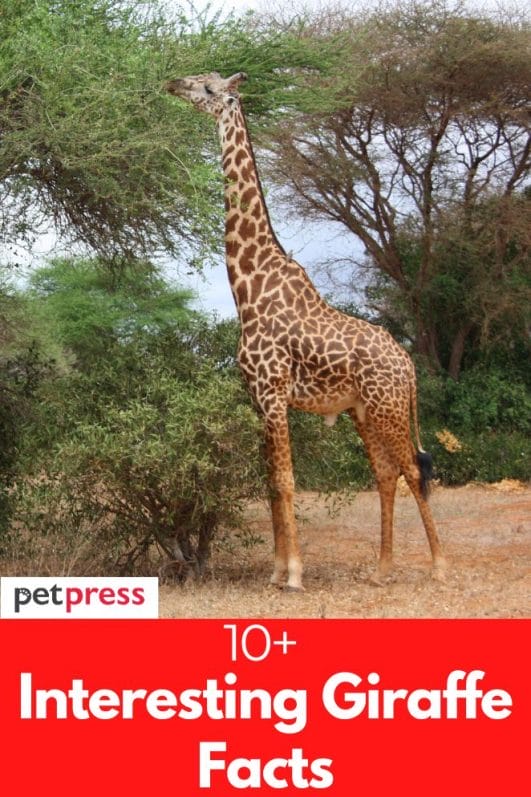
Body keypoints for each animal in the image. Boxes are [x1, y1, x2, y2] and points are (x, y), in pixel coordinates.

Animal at [166, 71, 446, 590]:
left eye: (210, 90)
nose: (174, 83)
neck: (247, 286)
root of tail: (408, 364)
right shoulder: (257, 397)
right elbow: (270, 484)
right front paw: (277, 571)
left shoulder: (274, 393)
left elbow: (286, 481)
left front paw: (294, 574)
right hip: (364, 411)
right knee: (385, 474)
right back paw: (381, 570)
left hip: (389, 407)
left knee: (414, 471)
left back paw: (438, 566)